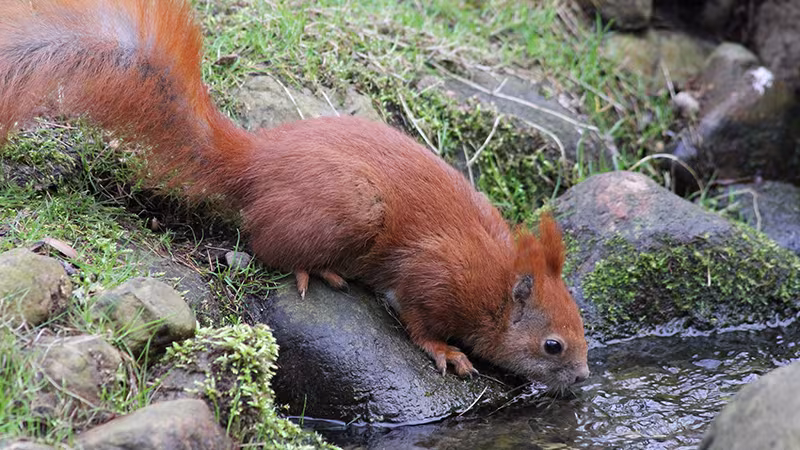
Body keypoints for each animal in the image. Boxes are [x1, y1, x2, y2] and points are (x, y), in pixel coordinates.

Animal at [0, 0, 589, 389]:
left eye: (583, 325)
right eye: (552, 345)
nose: (583, 377)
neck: (496, 281)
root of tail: (256, 162)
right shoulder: (438, 276)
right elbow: (419, 319)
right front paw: (447, 351)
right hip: (353, 207)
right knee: (268, 245)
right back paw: (317, 270)